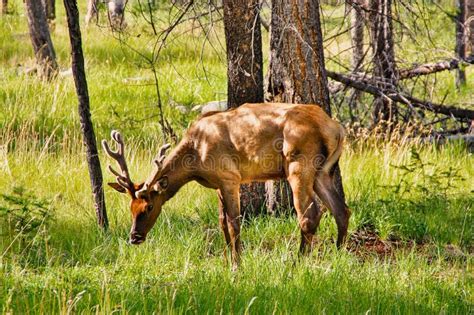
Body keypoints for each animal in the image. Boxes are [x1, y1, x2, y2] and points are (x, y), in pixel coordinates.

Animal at [102, 102, 350, 270]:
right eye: (131, 208)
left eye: (149, 207)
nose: (134, 237)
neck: (195, 158)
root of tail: (336, 128)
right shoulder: (218, 184)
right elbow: (222, 222)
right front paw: (226, 261)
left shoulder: (230, 176)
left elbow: (234, 224)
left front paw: (237, 266)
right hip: (323, 172)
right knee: (341, 210)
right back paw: (338, 254)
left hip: (299, 164)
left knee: (309, 215)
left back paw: (297, 263)